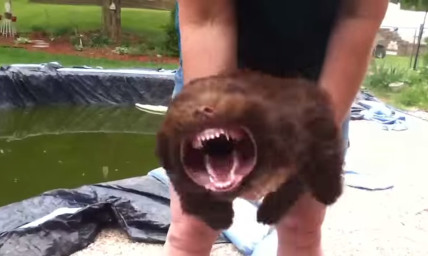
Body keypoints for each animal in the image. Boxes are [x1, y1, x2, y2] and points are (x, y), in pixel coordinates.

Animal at [155, 70, 342, 230]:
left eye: (231, 94)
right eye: (181, 108)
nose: (203, 111)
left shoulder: (302, 114)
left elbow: (320, 151)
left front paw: (328, 192)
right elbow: (194, 199)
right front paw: (220, 218)